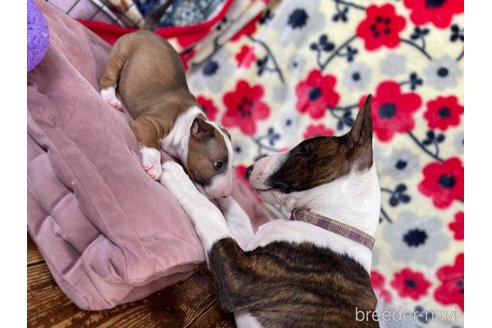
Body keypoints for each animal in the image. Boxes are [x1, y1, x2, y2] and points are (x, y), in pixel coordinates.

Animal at [99, 30, 233, 199]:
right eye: (218, 164)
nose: (226, 194)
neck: (186, 127)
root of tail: (143, 31)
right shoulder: (147, 122)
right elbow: (153, 145)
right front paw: (154, 165)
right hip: (121, 54)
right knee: (108, 78)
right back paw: (110, 98)